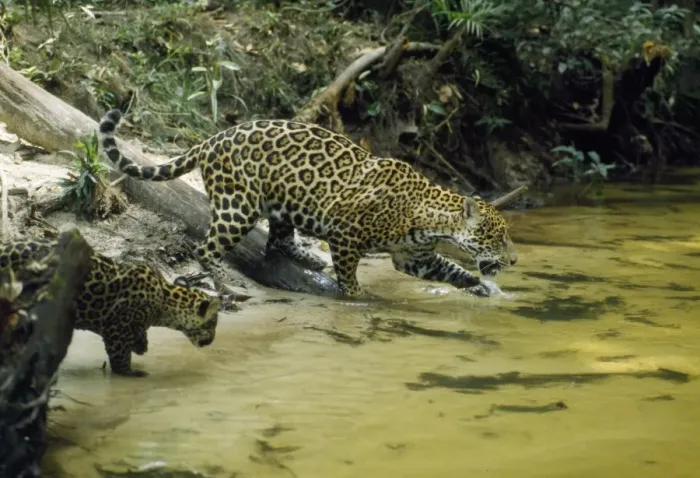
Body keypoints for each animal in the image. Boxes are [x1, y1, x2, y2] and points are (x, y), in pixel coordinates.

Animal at [0, 238, 221, 376]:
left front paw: (141, 345)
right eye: (212, 325)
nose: (212, 341)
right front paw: (129, 372)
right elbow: (119, 354)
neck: (164, 302)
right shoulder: (117, 326)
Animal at [98, 109, 518, 298]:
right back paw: (226, 286)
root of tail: (212, 139)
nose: (514, 261)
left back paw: (307, 257)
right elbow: (348, 275)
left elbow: (452, 269)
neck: (431, 218)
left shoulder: (414, 258)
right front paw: (359, 298)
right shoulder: (347, 236)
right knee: (206, 248)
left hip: (282, 203)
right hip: (238, 206)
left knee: (277, 240)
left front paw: (482, 287)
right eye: (498, 237)